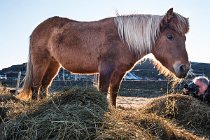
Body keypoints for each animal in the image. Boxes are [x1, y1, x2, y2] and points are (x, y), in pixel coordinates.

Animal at [16, 8, 190, 106]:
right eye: (170, 36)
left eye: (185, 38)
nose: (184, 68)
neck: (123, 38)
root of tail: (36, 29)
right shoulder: (106, 69)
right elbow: (103, 91)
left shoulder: (119, 72)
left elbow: (113, 93)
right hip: (41, 62)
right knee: (36, 85)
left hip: (53, 65)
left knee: (44, 86)